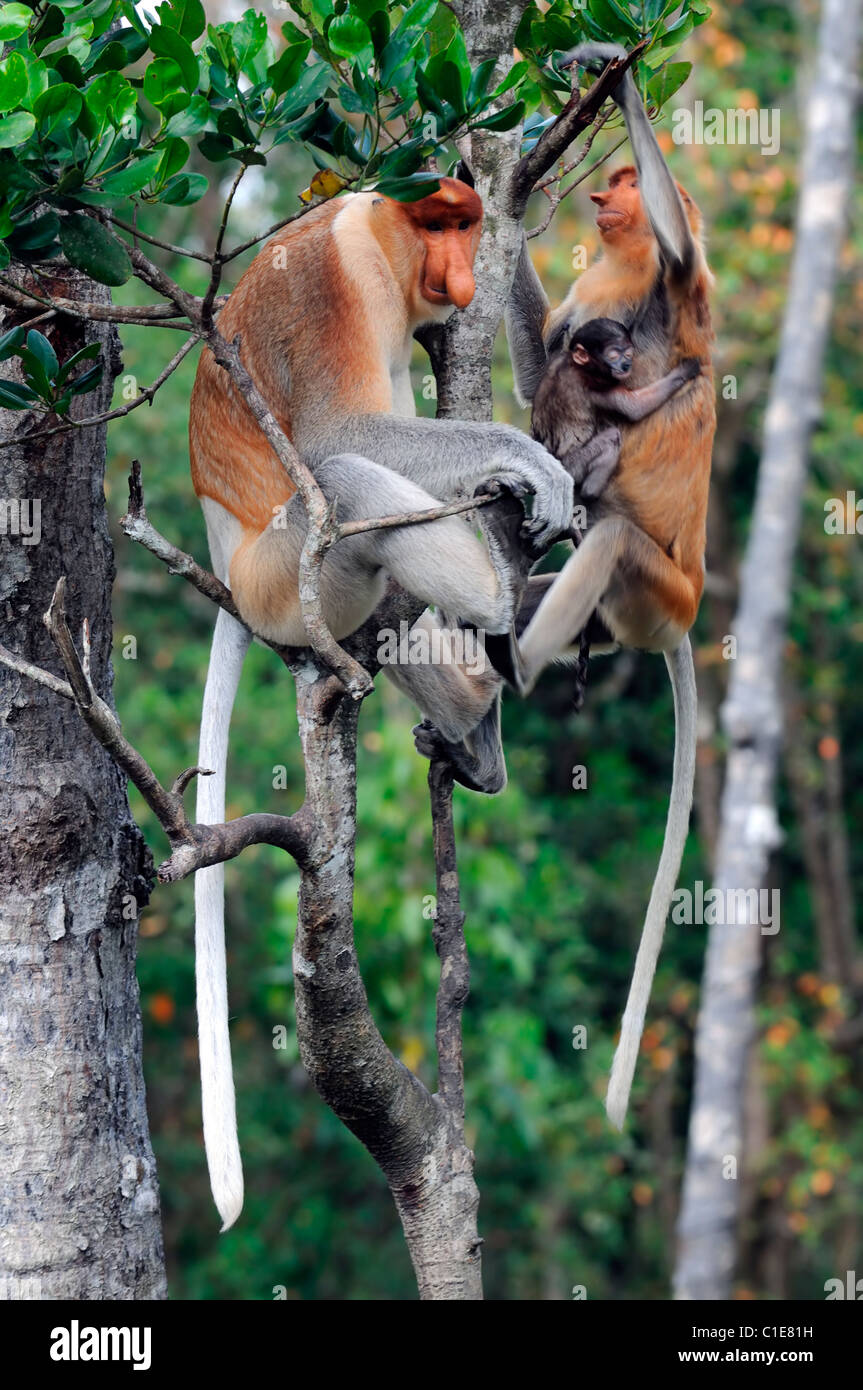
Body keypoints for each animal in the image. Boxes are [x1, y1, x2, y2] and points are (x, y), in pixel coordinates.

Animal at [530, 318, 700, 503]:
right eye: (613, 356)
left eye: (628, 354)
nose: (626, 365)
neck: (574, 365)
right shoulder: (597, 383)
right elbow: (634, 407)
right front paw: (685, 371)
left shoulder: (558, 360)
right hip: (573, 466)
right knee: (612, 437)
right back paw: (591, 491)